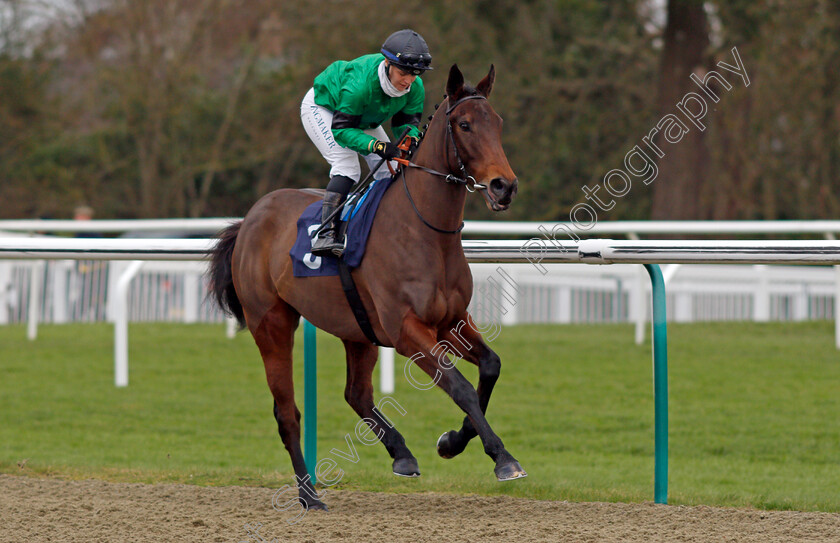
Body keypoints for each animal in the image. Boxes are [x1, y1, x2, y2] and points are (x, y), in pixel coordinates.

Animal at [209, 65, 520, 516]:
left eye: (497, 123)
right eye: (464, 124)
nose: (503, 186)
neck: (425, 230)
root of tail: (249, 219)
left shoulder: (451, 321)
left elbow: (491, 367)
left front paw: (451, 442)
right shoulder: (407, 330)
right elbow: (459, 386)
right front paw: (503, 457)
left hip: (357, 330)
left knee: (356, 392)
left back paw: (401, 454)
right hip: (271, 324)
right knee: (287, 413)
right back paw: (309, 495)